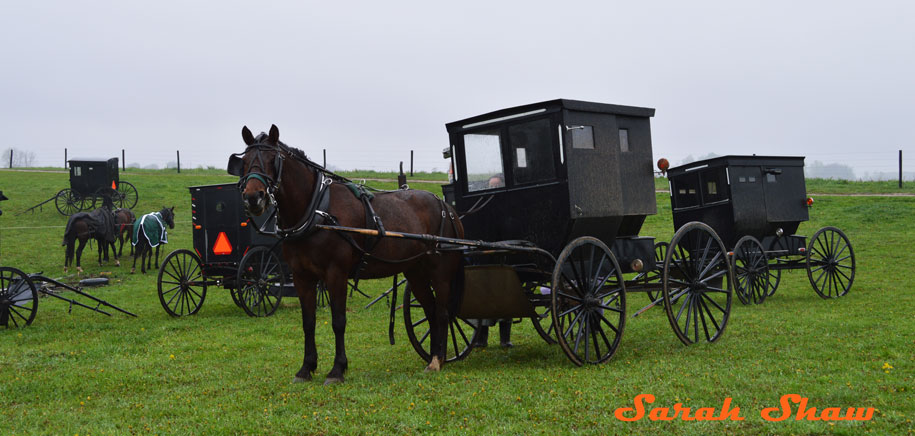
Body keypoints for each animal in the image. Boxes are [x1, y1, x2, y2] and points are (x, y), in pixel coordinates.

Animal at [229, 124, 466, 384]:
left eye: (273, 159)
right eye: (245, 160)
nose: (254, 197)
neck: (317, 209)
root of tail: (446, 207)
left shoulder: (336, 273)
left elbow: (338, 321)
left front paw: (337, 369)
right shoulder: (302, 276)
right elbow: (308, 322)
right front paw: (306, 368)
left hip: (440, 272)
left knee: (443, 312)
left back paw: (437, 360)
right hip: (415, 272)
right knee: (431, 311)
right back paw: (434, 357)